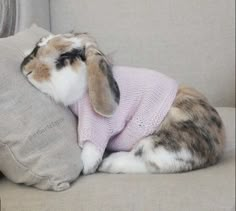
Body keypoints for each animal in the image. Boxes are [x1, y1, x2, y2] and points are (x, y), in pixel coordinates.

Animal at [20, 33, 225, 175]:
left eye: (65, 57)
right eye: (38, 46)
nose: (26, 69)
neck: (86, 86)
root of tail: (219, 143)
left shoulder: (97, 126)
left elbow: (91, 148)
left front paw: (86, 166)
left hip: (162, 144)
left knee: (149, 162)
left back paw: (109, 163)